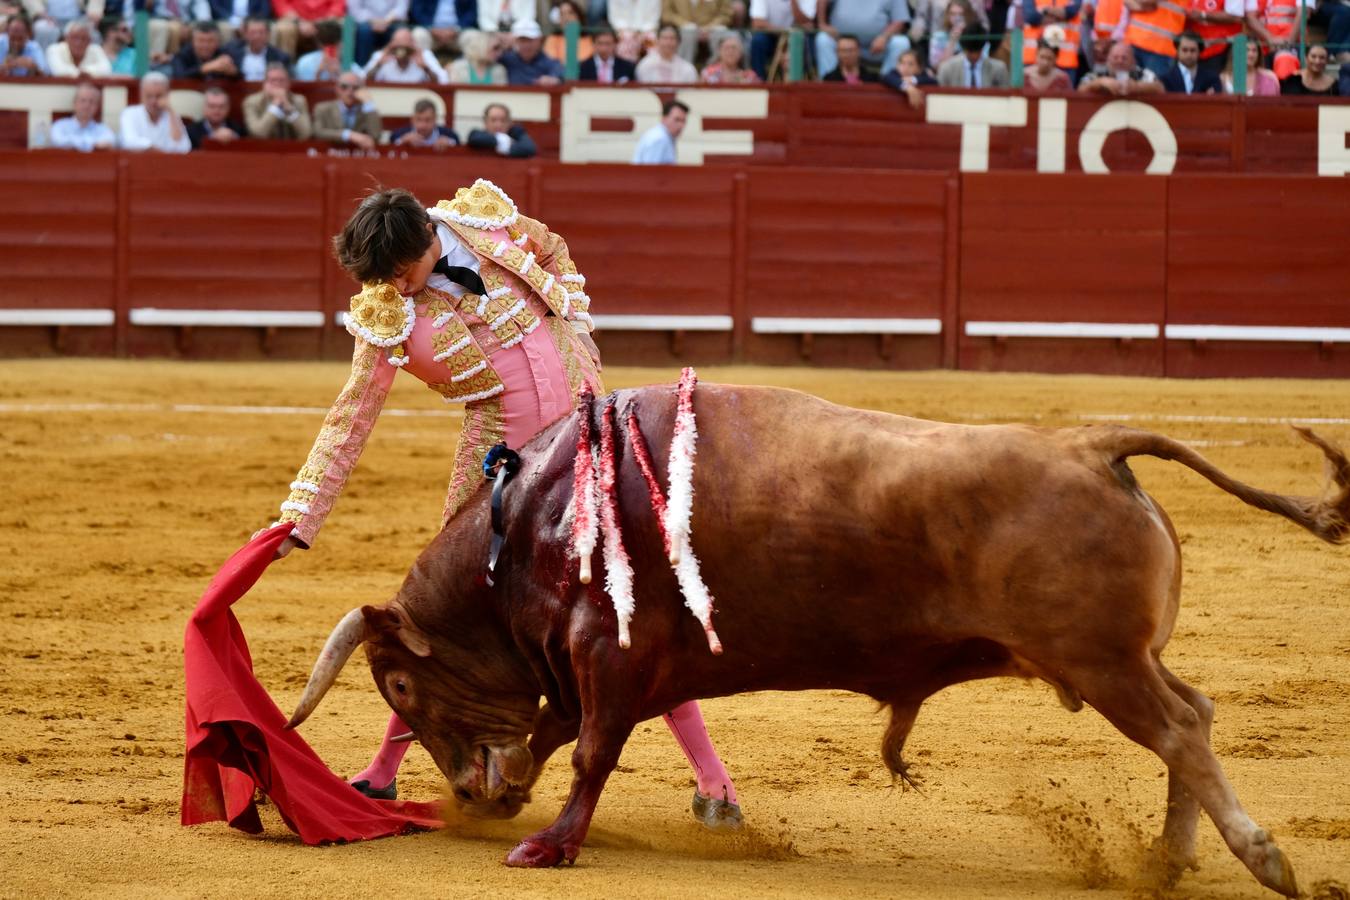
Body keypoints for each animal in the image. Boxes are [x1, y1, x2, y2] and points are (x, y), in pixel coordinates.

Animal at [287, 380, 1350, 895]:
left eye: (399, 689)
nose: (470, 796)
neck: (540, 513)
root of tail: (1093, 444)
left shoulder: (608, 659)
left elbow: (587, 750)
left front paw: (546, 845)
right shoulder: (603, 670)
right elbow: (557, 737)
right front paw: (522, 804)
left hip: (1102, 662)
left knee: (1181, 730)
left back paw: (1261, 857)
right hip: (1125, 659)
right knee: (1192, 714)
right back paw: (1170, 861)